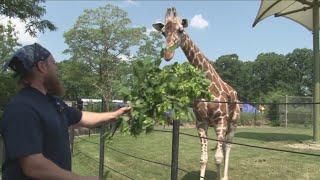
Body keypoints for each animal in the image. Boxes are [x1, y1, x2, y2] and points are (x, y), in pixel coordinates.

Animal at [152, 7, 240, 180]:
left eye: (180, 30)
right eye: (163, 32)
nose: (168, 55)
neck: (208, 86)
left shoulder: (220, 120)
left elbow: (218, 157)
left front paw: (221, 176)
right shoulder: (201, 123)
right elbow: (203, 158)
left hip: (232, 122)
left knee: (227, 147)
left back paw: (225, 176)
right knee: (221, 147)